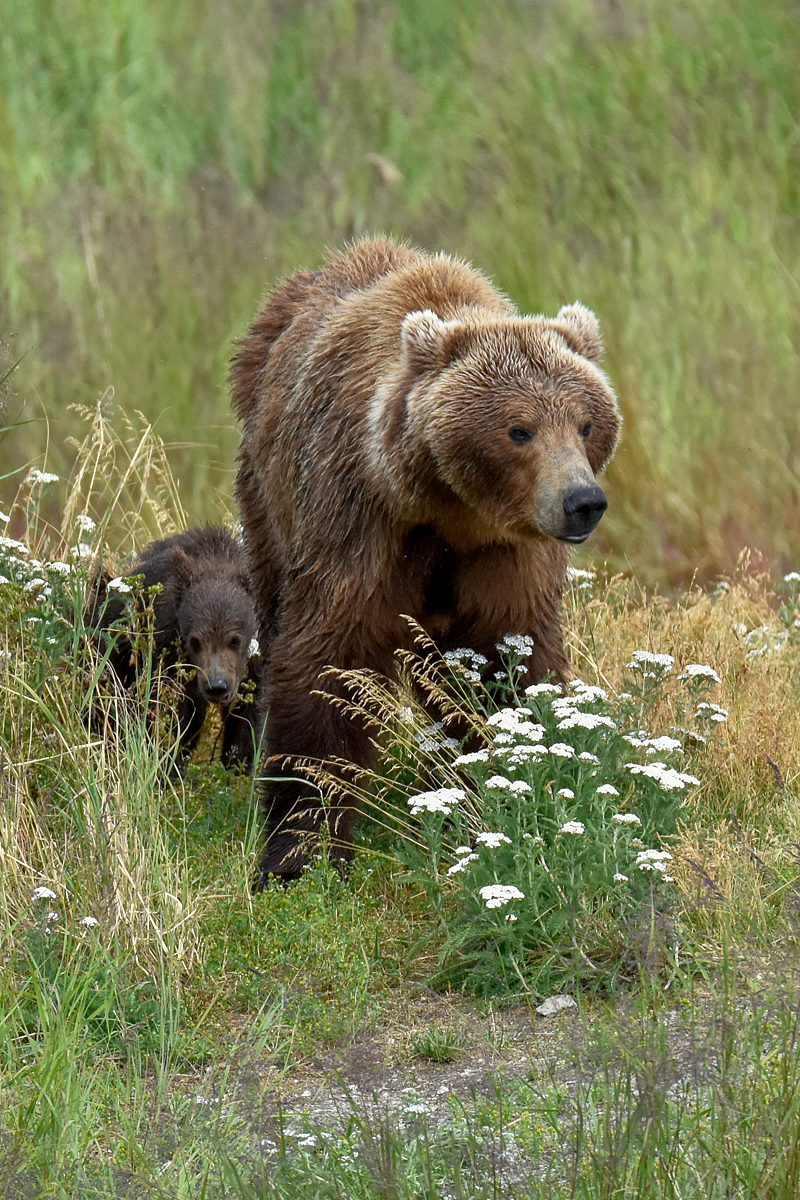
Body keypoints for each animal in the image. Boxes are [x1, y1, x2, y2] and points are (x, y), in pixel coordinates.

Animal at [231, 236, 618, 883]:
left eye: (586, 423)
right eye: (520, 429)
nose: (582, 501)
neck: (451, 509)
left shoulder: (505, 554)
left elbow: (508, 661)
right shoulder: (361, 519)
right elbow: (328, 660)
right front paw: (300, 845)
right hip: (268, 488)